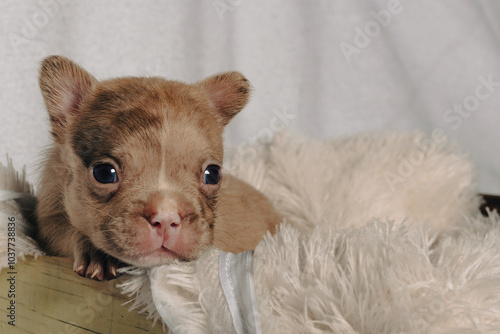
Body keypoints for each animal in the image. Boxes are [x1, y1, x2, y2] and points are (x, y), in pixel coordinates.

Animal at [36, 56, 282, 280]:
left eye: (213, 174)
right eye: (104, 173)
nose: (166, 217)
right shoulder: (49, 219)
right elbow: (68, 230)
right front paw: (98, 255)